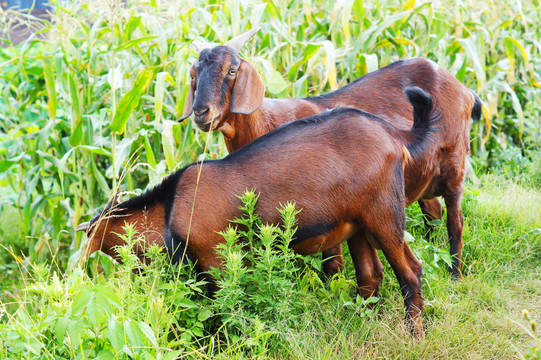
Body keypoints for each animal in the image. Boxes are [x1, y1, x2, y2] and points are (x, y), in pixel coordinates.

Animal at [77, 88, 438, 338]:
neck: (167, 210)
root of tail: (394, 134)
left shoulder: (216, 260)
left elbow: (225, 308)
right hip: (357, 225)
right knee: (370, 276)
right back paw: (357, 325)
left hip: (383, 215)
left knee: (411, 271)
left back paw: (414, 335)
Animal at [180, 30, 480, 278]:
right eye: (193, 75)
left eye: (232, 70)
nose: (201, 112)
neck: (267, 121)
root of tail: (463, 89)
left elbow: (332, 262)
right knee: (433, 211)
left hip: (454, 165)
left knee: (455, 220)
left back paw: (455, 274)